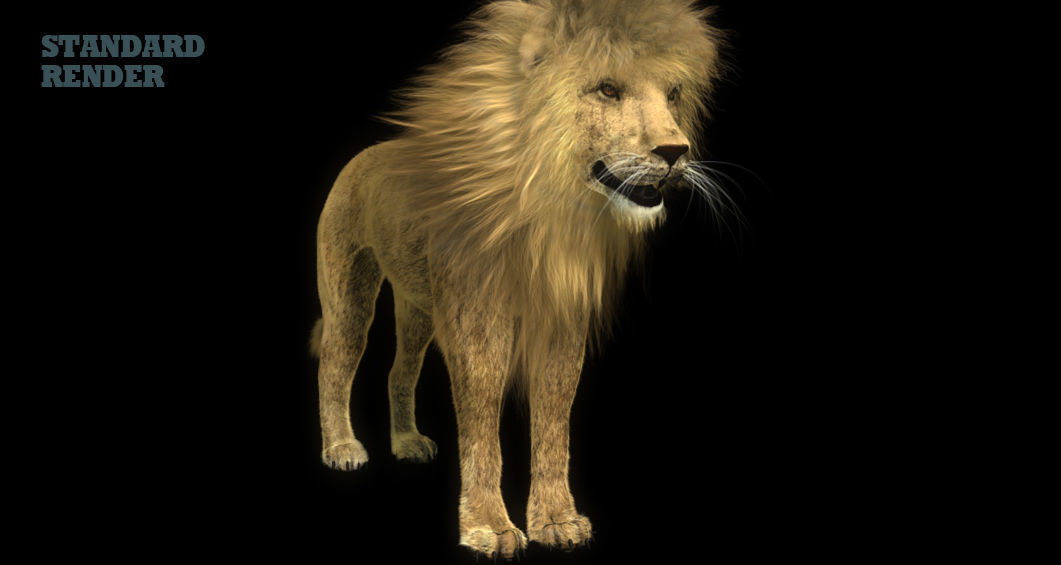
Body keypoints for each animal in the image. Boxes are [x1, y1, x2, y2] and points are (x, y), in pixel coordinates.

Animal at [311, 0, 726, 558]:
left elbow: (553, 423)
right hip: (350, 287)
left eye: (674, 94)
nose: (675, 151)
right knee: (336, 362)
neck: (551, 209)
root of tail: (364, 153)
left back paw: (408, 443)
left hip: (418, 308)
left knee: (401, 370)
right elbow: (482, 426)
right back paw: (342, 447)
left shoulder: (563, 323)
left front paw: (557, 520)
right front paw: (489, 527)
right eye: (607, 89)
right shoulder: (477, 319)